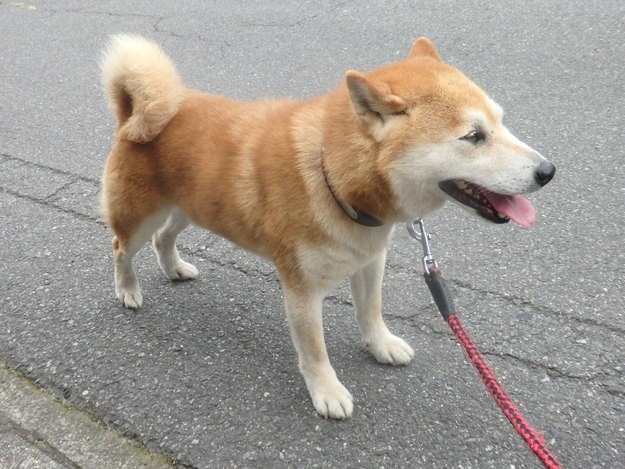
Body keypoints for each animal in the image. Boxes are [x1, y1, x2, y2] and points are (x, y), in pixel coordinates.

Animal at [98, 34, 556, 418]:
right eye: (474, 136)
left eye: (500, 122)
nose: (548, 171)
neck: (332, 175)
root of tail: (134, 113)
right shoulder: (301, 289)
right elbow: (314, 352)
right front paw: (327, 391)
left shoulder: (370, 261)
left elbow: (371, 312)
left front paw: (381, 345)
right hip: (141, 217)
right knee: (122, 248)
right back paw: (128, 290)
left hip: (187, 210)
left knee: (164, 239)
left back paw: (174, 268)